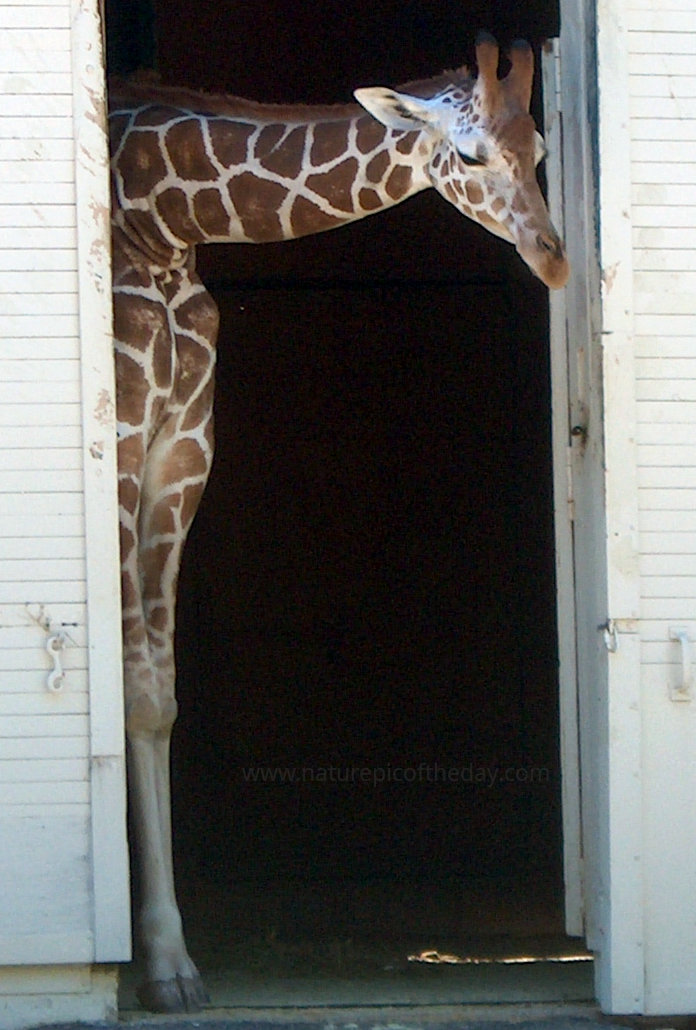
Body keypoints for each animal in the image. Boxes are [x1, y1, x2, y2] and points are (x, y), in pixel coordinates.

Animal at [107, 34, 564, 1013]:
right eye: (471, 156)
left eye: (542, 149)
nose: (553, 260)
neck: (160, 212)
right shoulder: (120, 436)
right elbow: (123, 684)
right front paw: (146, 960)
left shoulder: (183, 447)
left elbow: (156, 697)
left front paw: (170, 961)